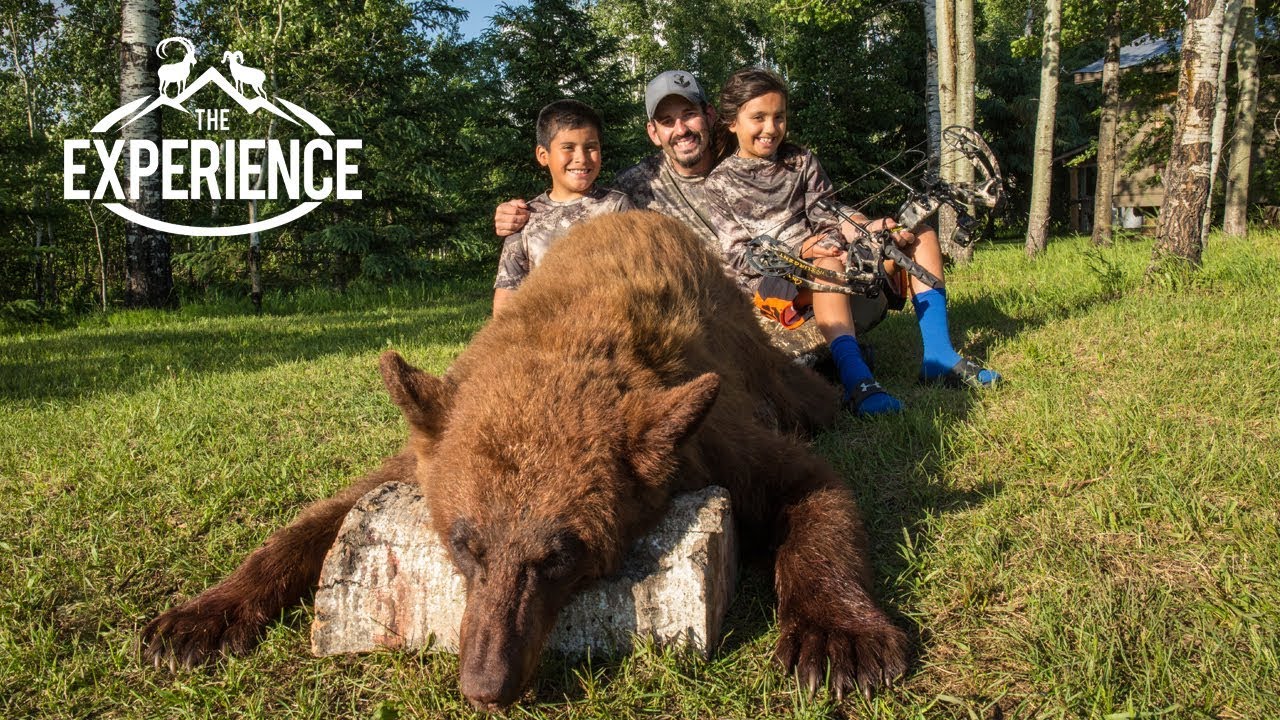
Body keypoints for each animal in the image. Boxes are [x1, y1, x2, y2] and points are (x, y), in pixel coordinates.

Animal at [140, 210, 911, 707]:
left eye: (561, 555)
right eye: (465, 543)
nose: (486, 686)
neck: (572, 332)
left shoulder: (711, 430)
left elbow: (811, 489)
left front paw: (839, 638)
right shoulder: (433, 437)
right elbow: (320, 515)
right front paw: (197, 618)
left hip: (762, 364)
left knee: (809, 395)